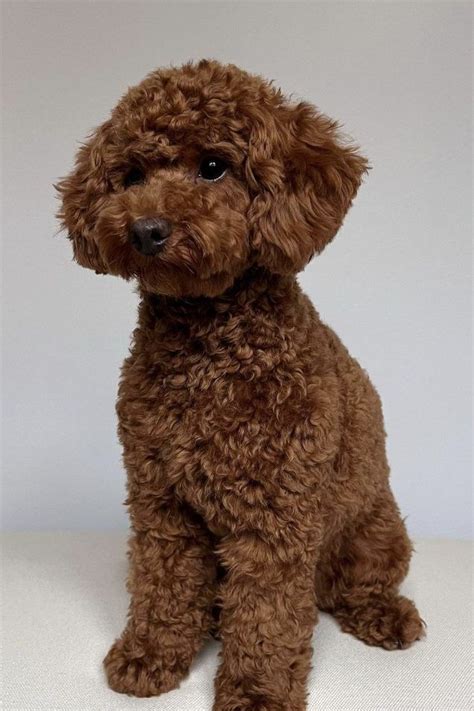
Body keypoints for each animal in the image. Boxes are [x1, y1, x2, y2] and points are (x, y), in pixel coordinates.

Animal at [57, 59, 424, 711]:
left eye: (213, 166)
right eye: (130, 176)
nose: (146, 229)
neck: (208, 348)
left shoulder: (276, 513)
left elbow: (267, 617)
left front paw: (256, 692)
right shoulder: (161, 500)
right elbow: (165, 584)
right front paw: (153, 653)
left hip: (374, 532)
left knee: (352, 587)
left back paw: (383, 614)